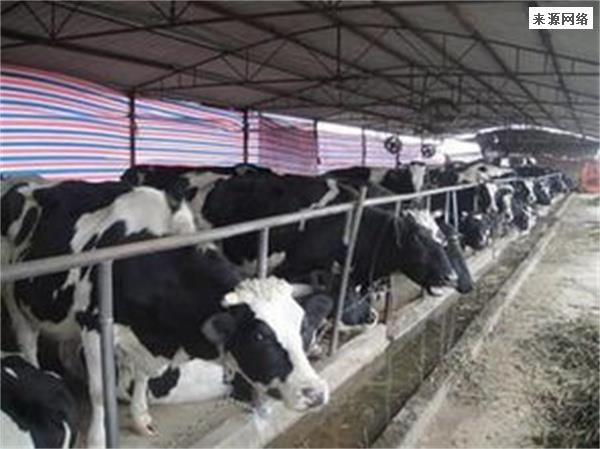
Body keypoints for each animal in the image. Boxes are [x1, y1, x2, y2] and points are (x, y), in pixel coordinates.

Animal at [2, 180, 329, 447]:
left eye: (303, 328)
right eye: (260, 336)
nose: (315, 393)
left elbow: (142, 377)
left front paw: (140, 418)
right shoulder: (94, 325)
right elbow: (98, 392)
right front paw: (97, 440)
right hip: (15, 299)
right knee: (28, 342)